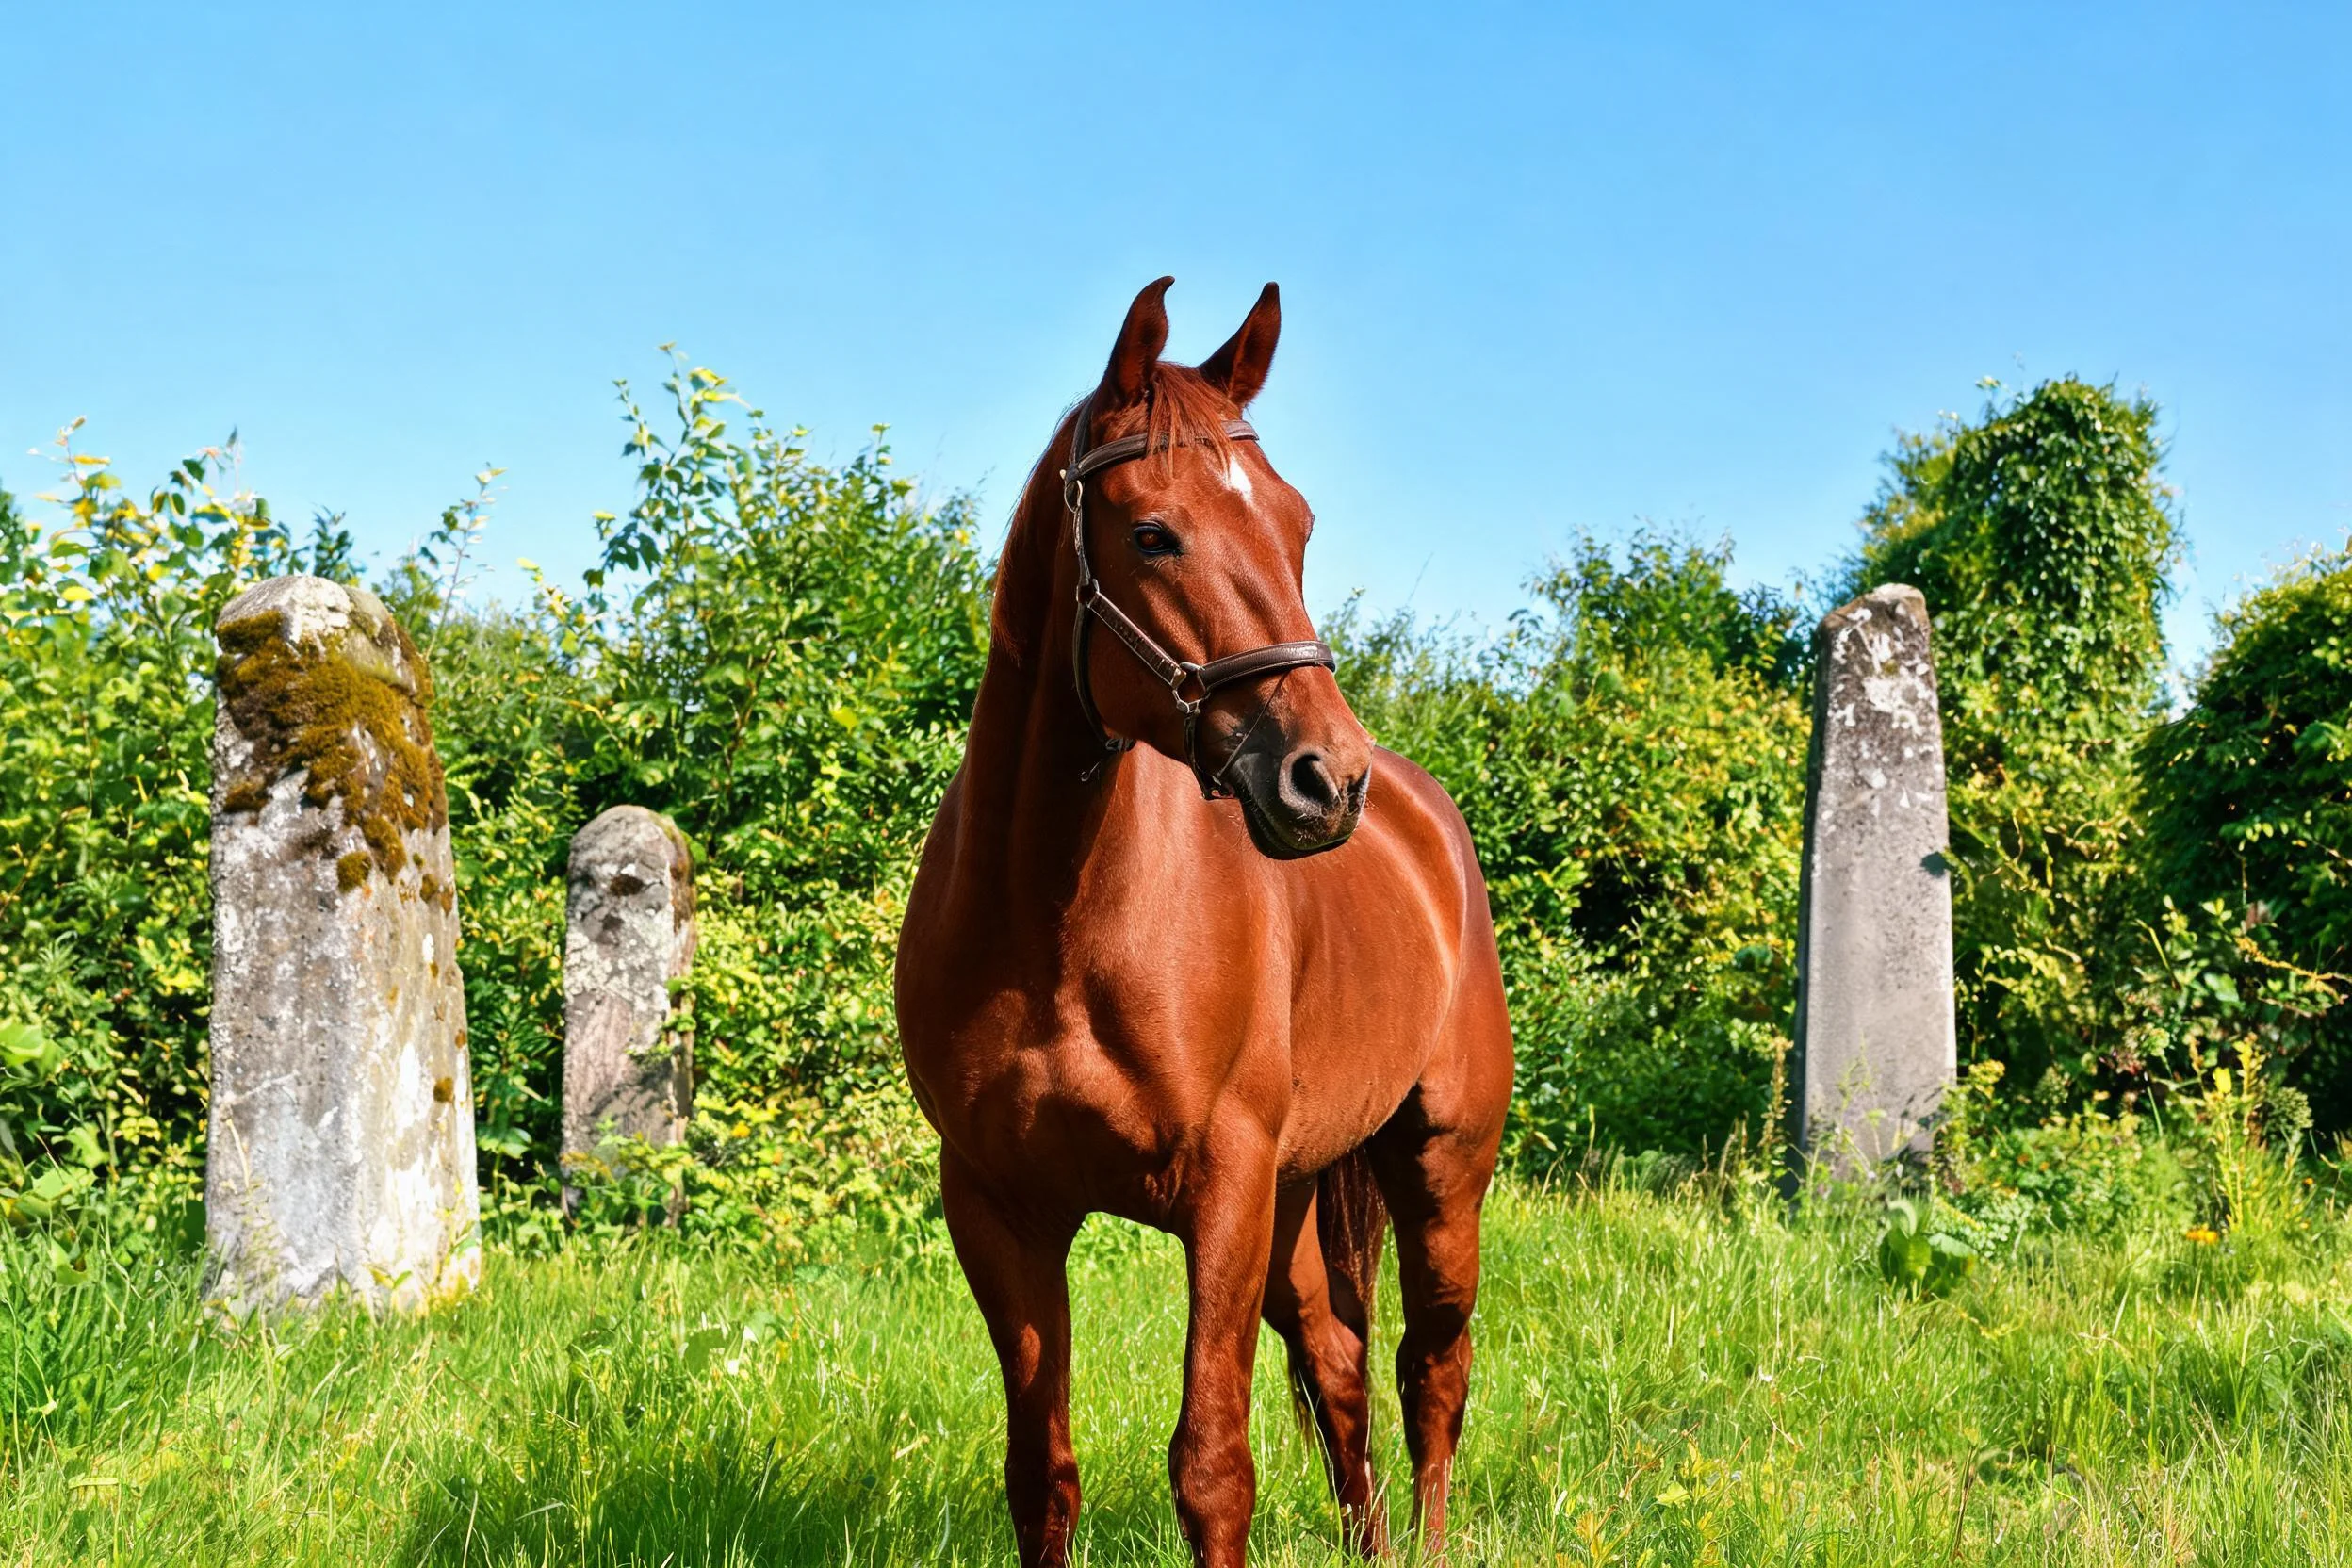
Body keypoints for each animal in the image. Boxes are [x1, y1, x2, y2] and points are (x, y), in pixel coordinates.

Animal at [896, 277, 1514, 1568]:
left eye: (1298, 524)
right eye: (1151, 533)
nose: (1325, 778)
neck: (1058, 923)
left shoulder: (1223, 1192)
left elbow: (1212, 1465)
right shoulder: (999, 1207)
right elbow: (1043, 1473)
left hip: (1440, 1171)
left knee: (1431, 1368)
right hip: (1298, 1200)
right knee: (1339, 1364)